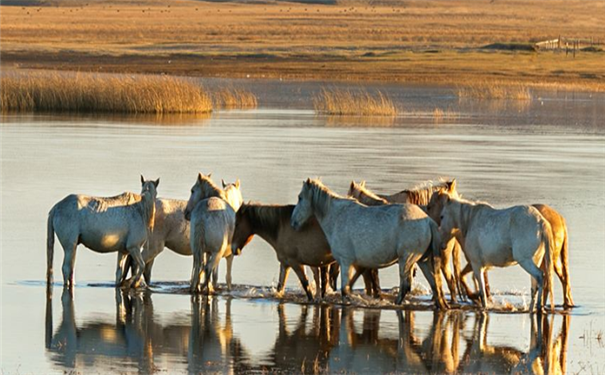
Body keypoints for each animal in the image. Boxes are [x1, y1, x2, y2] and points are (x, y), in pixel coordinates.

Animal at [290, 179, 446, 308]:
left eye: (300, 197)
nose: (293, 223)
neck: (337, 216)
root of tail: (427, 220)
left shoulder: (346, 262)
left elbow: (345, 290)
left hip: (406, 260)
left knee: (405, 286)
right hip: (422, 261)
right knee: (435, 283)